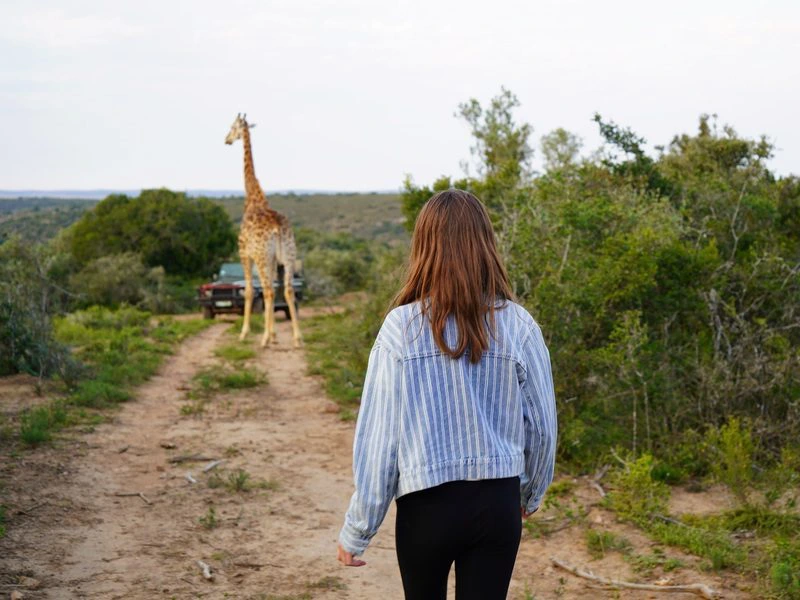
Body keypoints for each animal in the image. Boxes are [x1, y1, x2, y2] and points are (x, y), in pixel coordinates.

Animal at [225, 113, 302, 348]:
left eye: (233, 127)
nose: (226, 140)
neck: (253, 198)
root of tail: (277, 227)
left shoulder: (244, 254)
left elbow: (250, 291)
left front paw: (246, 333)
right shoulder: (275, 259)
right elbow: (275, 291)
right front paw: (274, 334)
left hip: (261, 256)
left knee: (266, 290)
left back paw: (265, 339)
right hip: (289, 254)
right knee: (287, 289)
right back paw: (297, 338)